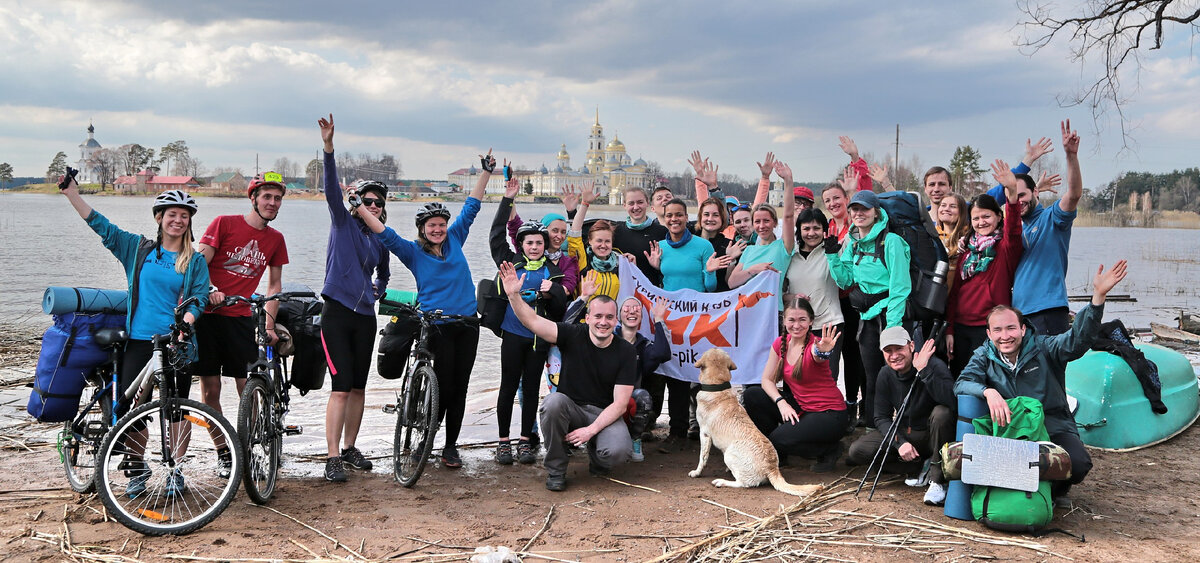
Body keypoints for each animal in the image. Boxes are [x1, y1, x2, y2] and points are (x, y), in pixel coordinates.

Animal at [691, 345, 820, 496]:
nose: (716, 345)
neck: (718, 387)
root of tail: (772, 469)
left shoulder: (704, 434)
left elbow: (702, 458)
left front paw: (696, 472)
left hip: (729, 454)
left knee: (743, 484)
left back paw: (721, 482)